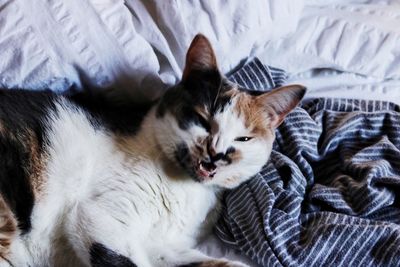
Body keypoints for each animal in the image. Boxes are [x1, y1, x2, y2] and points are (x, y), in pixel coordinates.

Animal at [0, 34, 304, 266]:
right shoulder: (99, 217)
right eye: (203, 119)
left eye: (243, 138)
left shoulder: (163, 247)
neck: (186, 191)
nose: (216, 154)